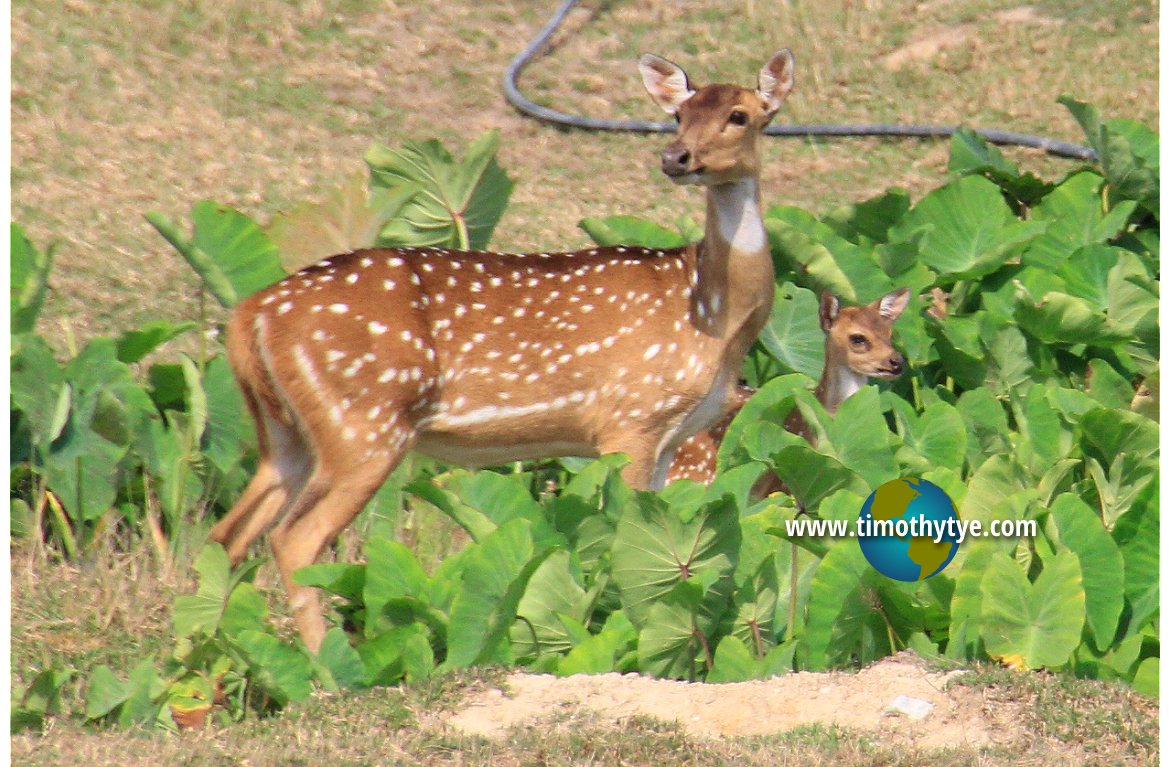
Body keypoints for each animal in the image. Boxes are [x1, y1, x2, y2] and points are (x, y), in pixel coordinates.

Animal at [208, 47, 795, 650]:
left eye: (740, 115)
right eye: (678, 115)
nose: (675, 157)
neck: (709, 313)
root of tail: (249, 315)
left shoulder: (671, 438)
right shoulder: (630, 419)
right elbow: (628, 541)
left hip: (286, 433)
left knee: (227, 535)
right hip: (363, 424)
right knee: (293, 540)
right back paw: (328, 661)